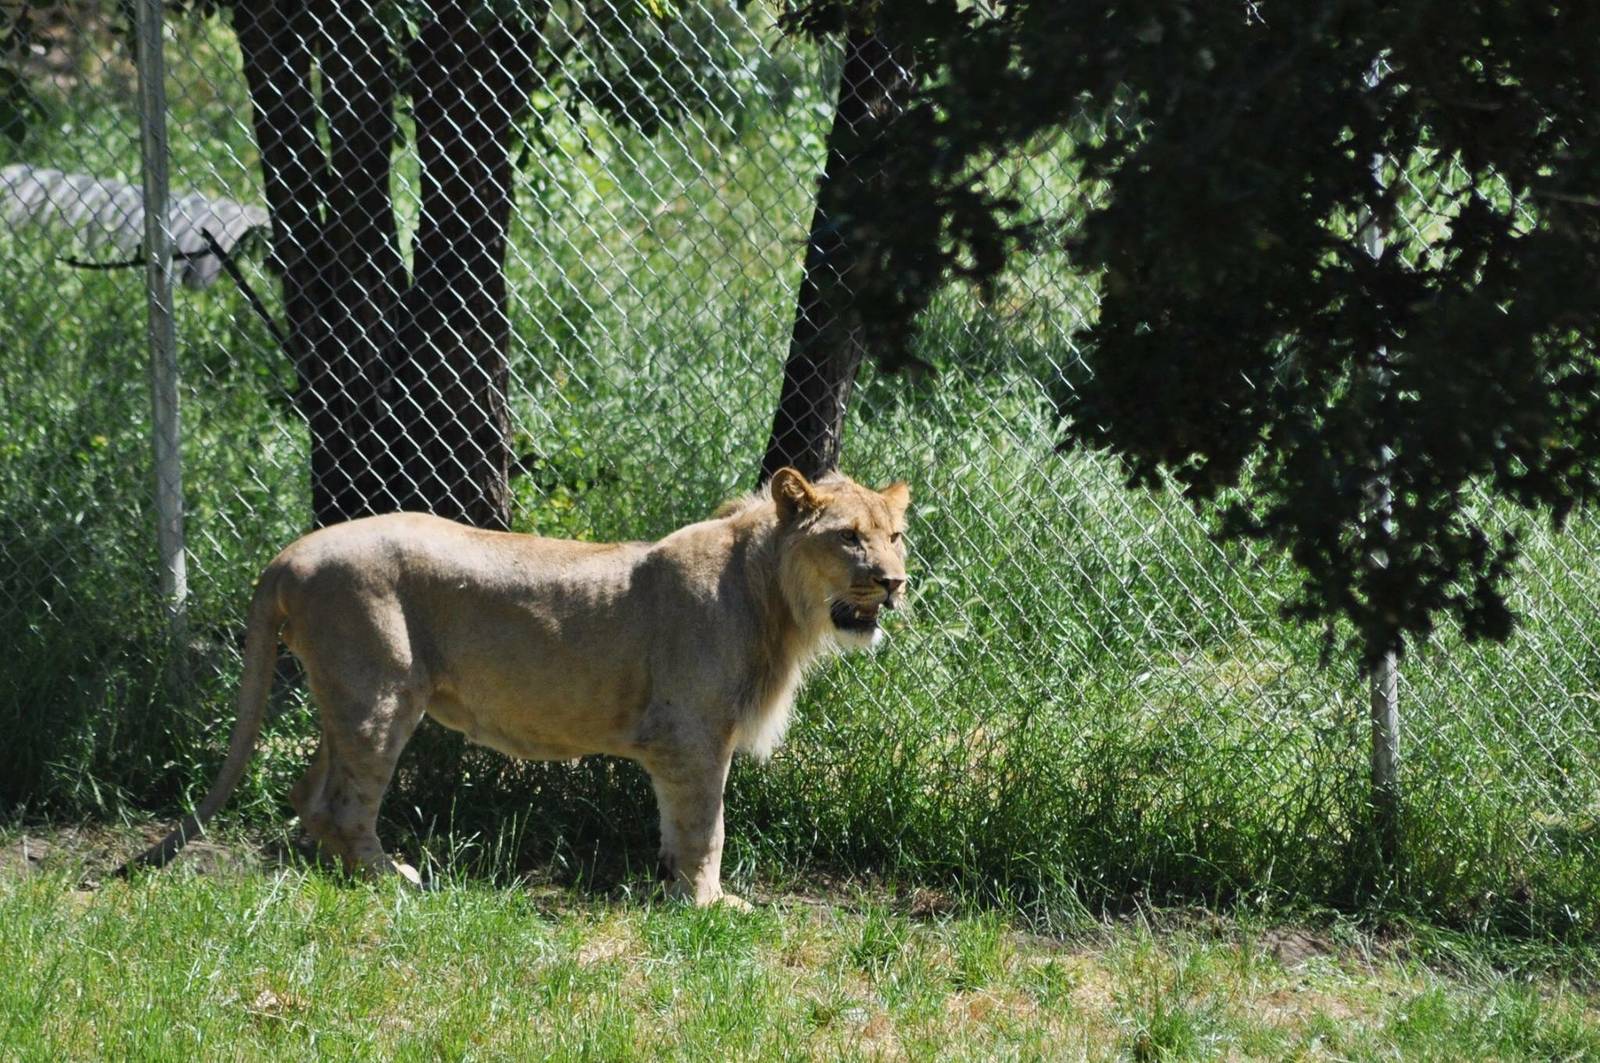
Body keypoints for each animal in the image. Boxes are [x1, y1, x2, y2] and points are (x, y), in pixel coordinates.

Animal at [121, 467, 910, 906]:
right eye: (847, 537)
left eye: (896, 534)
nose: (895, 582)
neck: (775, 600)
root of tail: (290, 554)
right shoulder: (692, 734)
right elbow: (705, 827)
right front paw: (709, 905)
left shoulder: (676, 747)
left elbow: (675, 824)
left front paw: (671, 888)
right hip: (381, 693)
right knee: (344, 803)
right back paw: (394, 879)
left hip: (342, 698)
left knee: (308, 794)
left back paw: (337, 873)